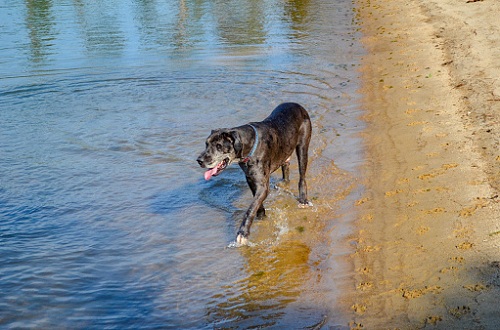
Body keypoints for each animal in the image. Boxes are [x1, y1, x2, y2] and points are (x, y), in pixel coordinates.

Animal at [196, 103, 310, 245]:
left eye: (218, 146)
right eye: (206, 144)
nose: (199, 160)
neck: (249, 146)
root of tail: (298, 105)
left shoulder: (263, 186)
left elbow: (251, 208)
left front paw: (243, 232)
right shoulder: (250, 179)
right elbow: (256, 203)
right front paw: (261, 215)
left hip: (303, 146)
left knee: (302, 176)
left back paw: (303, 199)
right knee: (286, 164)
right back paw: (284, 182)